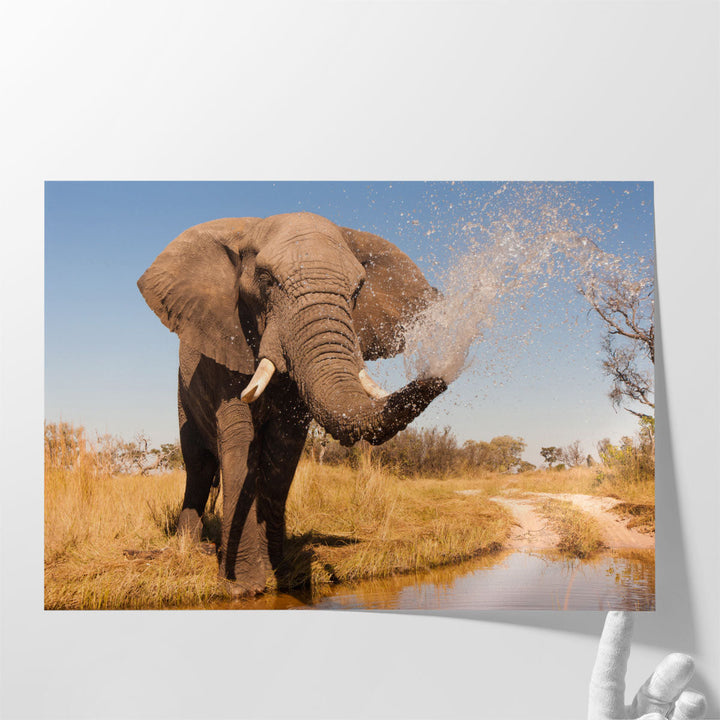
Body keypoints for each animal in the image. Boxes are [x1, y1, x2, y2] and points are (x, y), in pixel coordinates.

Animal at [138, 211, 447, 596]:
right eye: (266, 280)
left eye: (357, 290)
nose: (440, 375)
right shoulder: (226, 344)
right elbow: (239, 440)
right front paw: (243, 587)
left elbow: (283, 448)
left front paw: (279, 572)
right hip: (184, 395)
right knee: (197, 465)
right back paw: (191, 548)